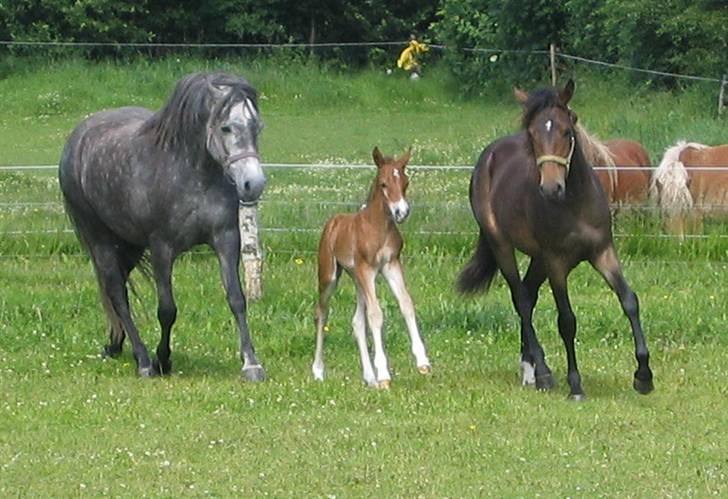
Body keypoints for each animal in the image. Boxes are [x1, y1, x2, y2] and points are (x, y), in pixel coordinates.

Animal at [310, 146, 430, 388]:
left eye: (406, 182)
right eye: (383, 183)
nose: (402, 212)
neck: (377, 227)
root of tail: (332, 223)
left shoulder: (391, 265)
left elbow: (406, 304)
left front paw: (422, 362)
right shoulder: (367, 269)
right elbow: (376, 314)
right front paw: (383, 374)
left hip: (357, 279)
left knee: (357, 322)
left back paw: (369, 377)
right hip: (331, 276)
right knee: (321, 313)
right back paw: (318, 371)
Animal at [456, 80, 656, 400]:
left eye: (567, 130)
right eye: (533, 134)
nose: (551, 188)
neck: (574, 205)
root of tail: (489, 157)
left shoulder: (603, 252)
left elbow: (629, 301)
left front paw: (644, 377)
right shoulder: (557, 264)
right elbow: (567, 320)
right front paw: (575, 385)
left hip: (538, 259)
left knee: (528, 293)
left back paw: (529, 369)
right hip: (504, 247)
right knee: (522, 299)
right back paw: (543, 373)